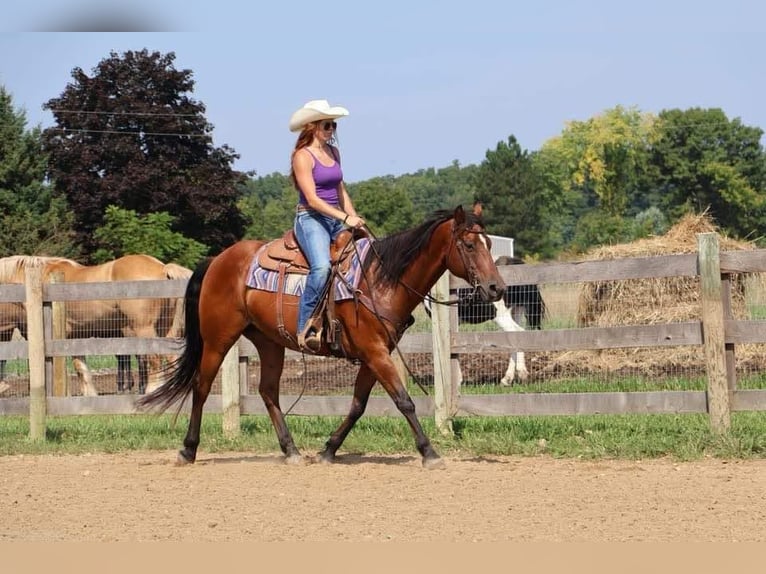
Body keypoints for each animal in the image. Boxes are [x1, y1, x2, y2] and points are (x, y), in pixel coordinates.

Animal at [0, 255, 192, 396]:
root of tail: (162, 268)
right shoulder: (75, 337)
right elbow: (81, 368)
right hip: (163, 329)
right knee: (170, 357)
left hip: (144, 329)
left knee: (155, 358)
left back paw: (151, 391)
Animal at [138, 206, 510, 468]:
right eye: (468, 244)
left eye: (490, 243)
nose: (497, 288)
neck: (380, 279)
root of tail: (217, 260)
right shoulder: (375, 352)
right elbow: (404, 400)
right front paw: (429, 452)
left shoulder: (374, 354)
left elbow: (358, 405)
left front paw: (329, 450)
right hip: (218, 338)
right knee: (201, 387)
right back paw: (188, 450)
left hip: (269, 342)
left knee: (268, 391)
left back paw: (291, 451)